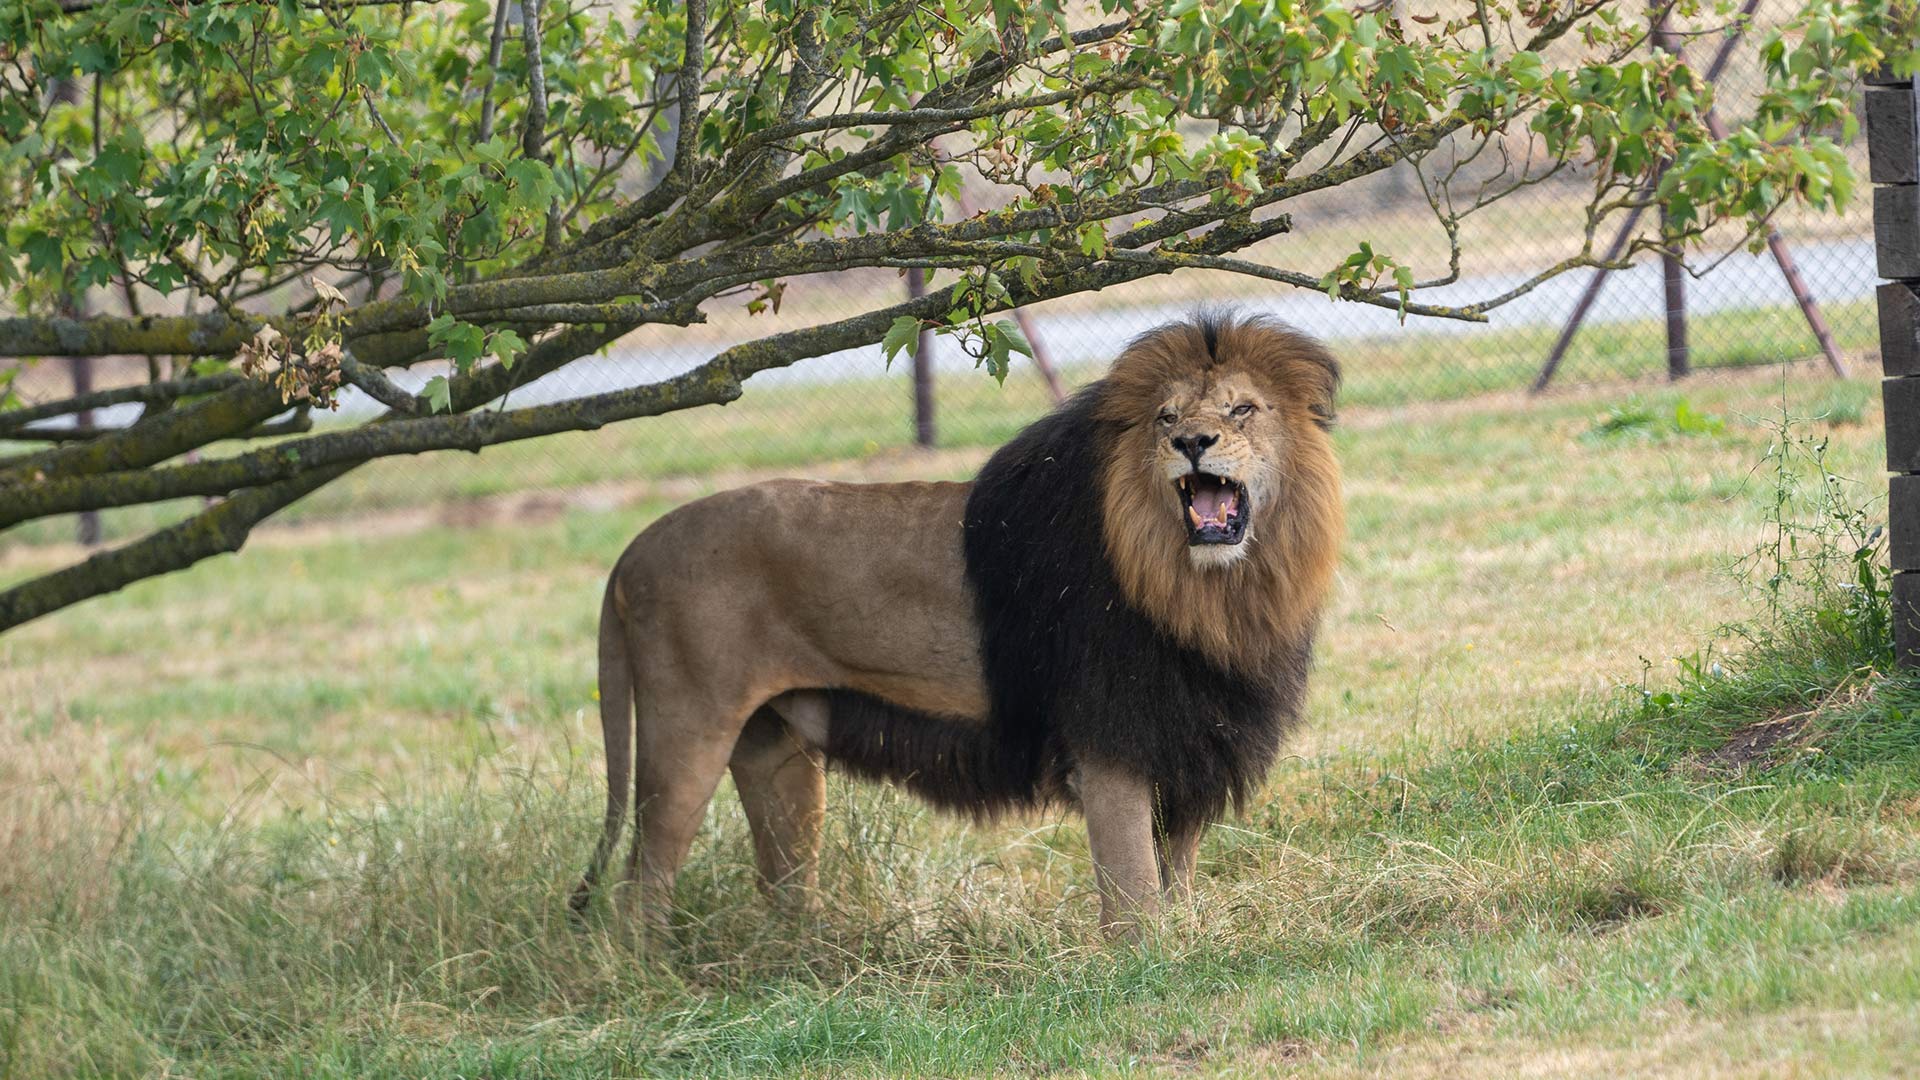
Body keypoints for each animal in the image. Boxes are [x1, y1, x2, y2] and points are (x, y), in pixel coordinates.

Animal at [573, 311, 1343, 936]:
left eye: (1243, 408)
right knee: (640, 889)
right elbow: (1134, 893)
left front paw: (1189, 947)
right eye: (1164, 417)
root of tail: (632, 550)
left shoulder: (1188, 737)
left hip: (775, 752)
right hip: (686, 730)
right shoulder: (1110, 741)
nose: (1192, 441)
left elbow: (1174, 877)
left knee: (783, 886)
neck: (1207, 591)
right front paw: (1149, 968)